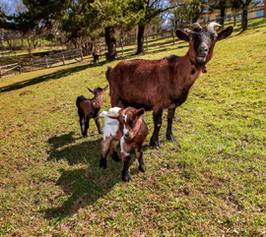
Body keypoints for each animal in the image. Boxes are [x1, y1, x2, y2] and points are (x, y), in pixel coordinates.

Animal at [105, 23, 233, 147]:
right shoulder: (157, 103)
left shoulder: (172, 105)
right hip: (115, 96)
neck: (175, 73)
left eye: (214, 38)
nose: (202, 51)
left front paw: (170, 137)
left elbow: (170, 119)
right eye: (191, 38)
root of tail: (111, 70)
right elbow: (158, 123)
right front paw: (155, 142)